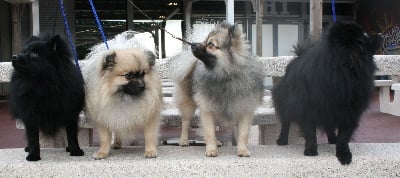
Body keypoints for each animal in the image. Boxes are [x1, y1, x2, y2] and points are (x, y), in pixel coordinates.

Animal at [274, 21, 382, 165]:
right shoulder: (307, 109)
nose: (380, 34)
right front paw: (310, 150)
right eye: (365, 36)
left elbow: (344, 137)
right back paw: (282, 140)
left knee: (329, 126)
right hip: (286, 104)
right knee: (286, 123)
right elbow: (310, 132)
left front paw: (343, 153)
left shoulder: (349, 113)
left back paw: (332, 140)